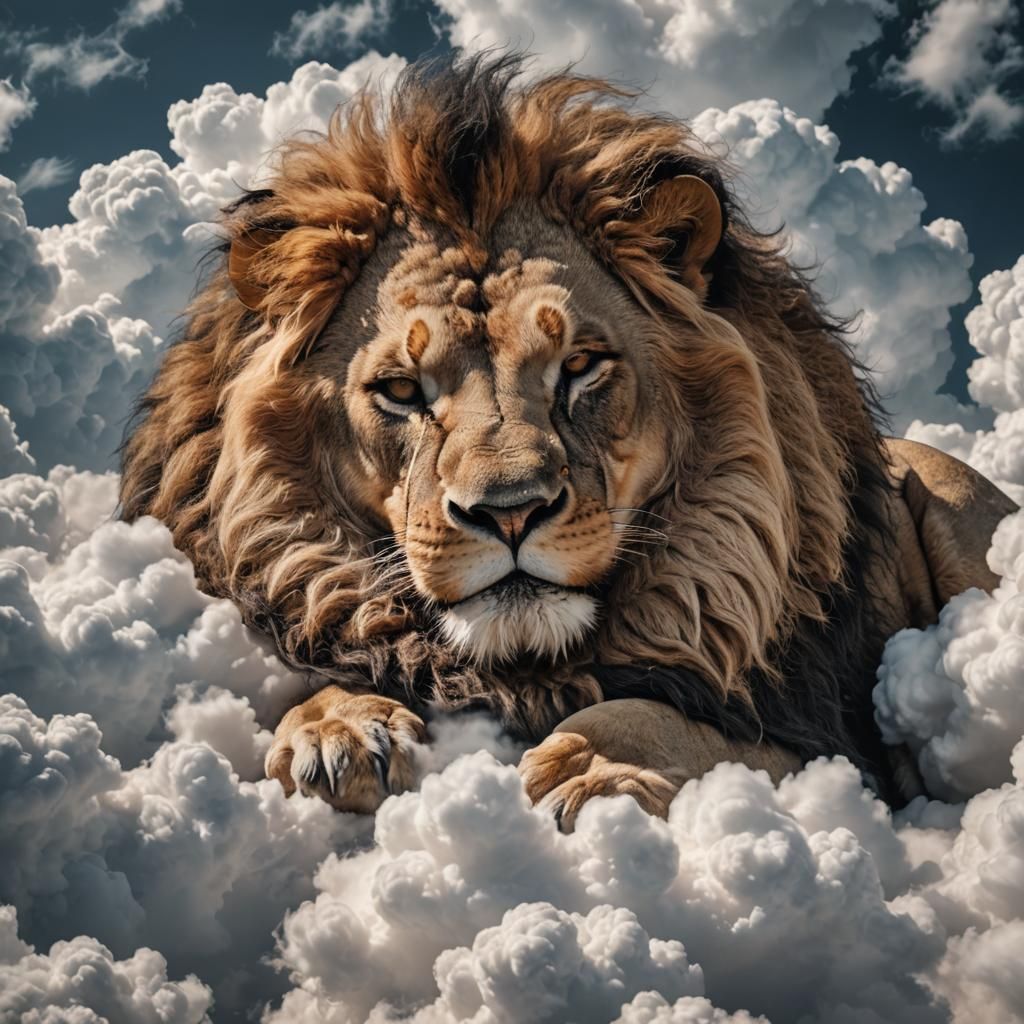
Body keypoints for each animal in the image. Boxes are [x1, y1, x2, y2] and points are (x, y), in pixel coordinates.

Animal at [120, 54, 1016, 828]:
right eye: (402, 390)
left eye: (579, 366)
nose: (510, 512)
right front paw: (338, 729)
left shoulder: (833, 748)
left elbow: (677, 719)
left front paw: (593, 763)